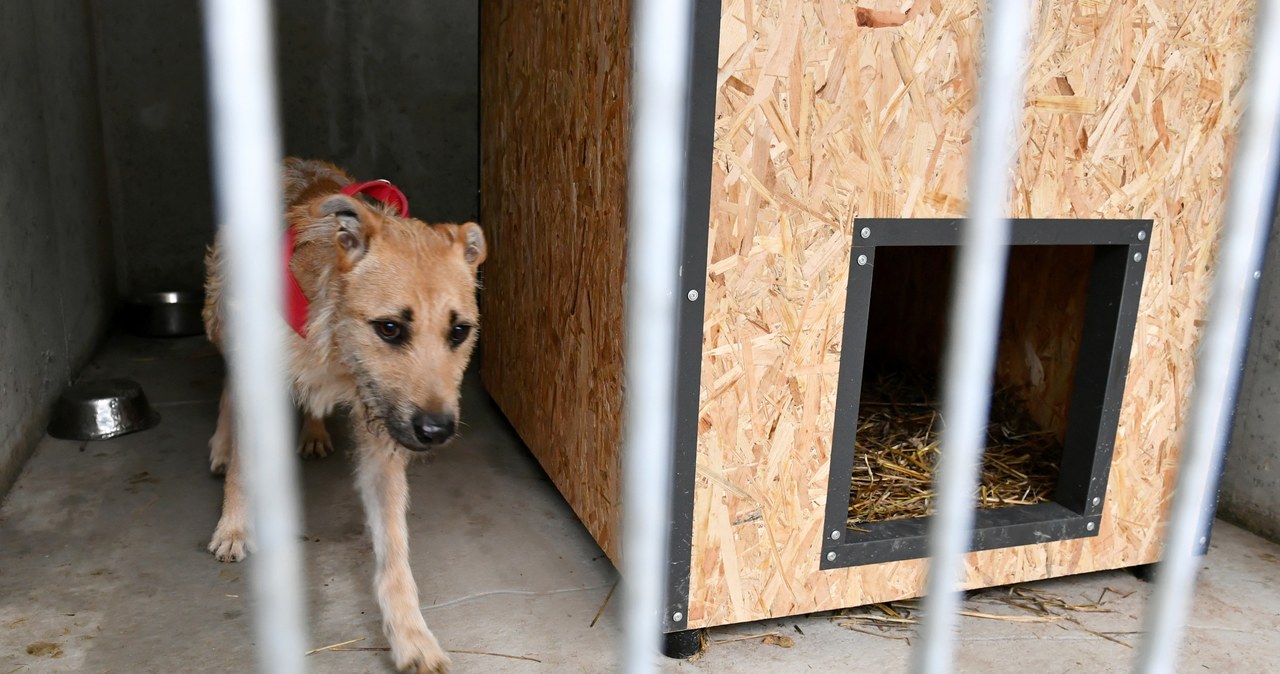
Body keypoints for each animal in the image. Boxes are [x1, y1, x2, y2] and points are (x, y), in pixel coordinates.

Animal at [199, 155, 483, 670]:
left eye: (459, 331)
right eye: (389, 328)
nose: (436, 430)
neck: (335, 345)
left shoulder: (382, 435)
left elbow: (394, 548)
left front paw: (411, 635)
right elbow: (243, 470)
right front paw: (233, 524)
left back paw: (312, 432)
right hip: (221, 318)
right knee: (228, 383)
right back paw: (222, 445)